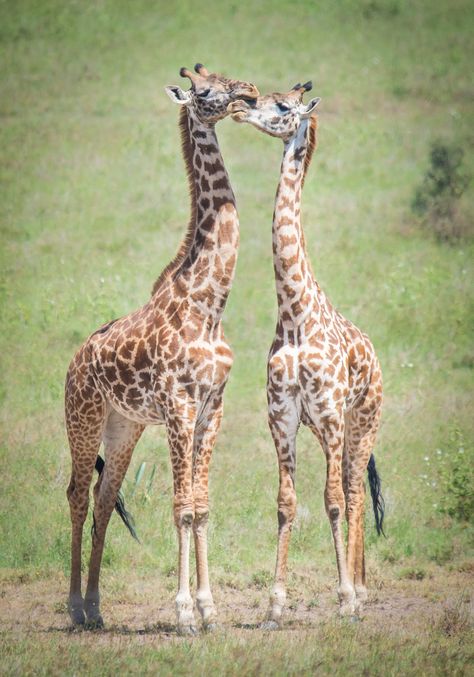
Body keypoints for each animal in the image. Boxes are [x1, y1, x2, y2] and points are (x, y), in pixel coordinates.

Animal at [64, 63, 258, 632]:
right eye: (206, 89)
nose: (250, 95)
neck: (209, 303)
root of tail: (71, 365)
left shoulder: (213, 406)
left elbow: (202, 505)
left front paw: (210, 609)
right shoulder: (178, 406)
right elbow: (181, 507)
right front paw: (185, 613)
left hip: (123, 427)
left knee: (105, 498)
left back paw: (96, 608)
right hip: (83, 418)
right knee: (77, 495)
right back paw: (74, 607)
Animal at [229, 84, 386, 628]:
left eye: (280, 106)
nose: (239, 107)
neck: (294, 316)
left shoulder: (332, 415)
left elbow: (333, 502)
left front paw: (344, 599)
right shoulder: (283, 416)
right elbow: (287, 503)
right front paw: (275, 605)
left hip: (361, 423)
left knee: (353, 492)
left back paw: (360, 592)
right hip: (326, 431)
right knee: (348, 488)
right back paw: (360, 585)